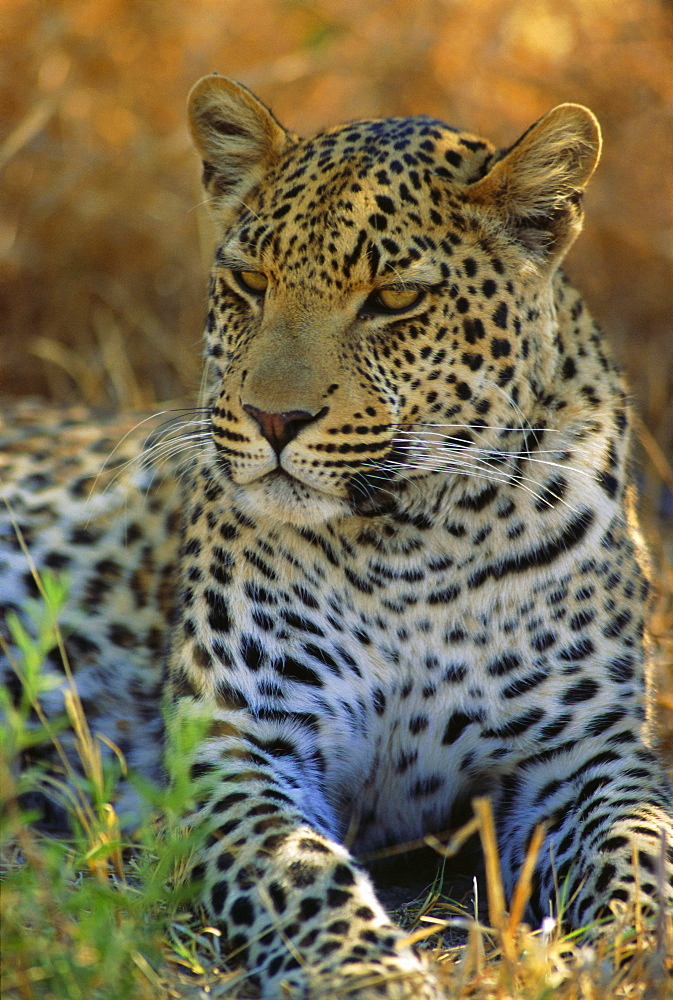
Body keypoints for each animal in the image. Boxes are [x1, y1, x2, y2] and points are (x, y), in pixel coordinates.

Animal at [1, 78, 672, 1000]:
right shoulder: (241, 741)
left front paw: (633, 952)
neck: (416, 544)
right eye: (249, 282)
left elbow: (641, 852)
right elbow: (302, 876)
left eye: (392, 298)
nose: (273, 419)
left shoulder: (587, 754)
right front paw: (370, 976)